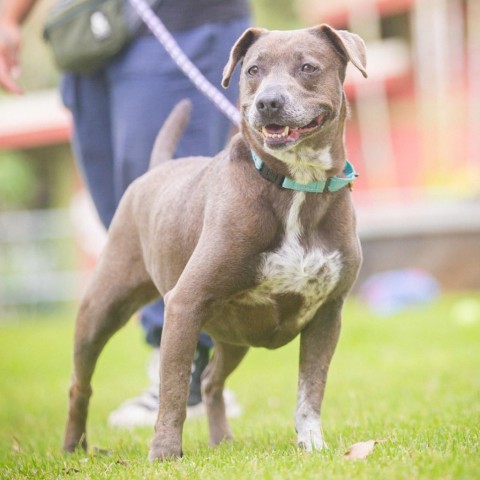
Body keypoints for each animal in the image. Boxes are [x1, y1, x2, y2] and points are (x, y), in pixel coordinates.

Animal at [63, 24, 368, 460]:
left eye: (308, 67)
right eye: (253, 69)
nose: (269, 102)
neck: (295, 185)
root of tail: (156, 170)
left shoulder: (327, 314)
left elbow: (310, 390)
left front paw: (311, 444)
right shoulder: (184, 304)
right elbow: (173, 390)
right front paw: (164, 454)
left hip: (234, 335)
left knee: (209, 380)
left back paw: (221, 440)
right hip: (102, 308)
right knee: (80, 384)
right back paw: (73, 446)